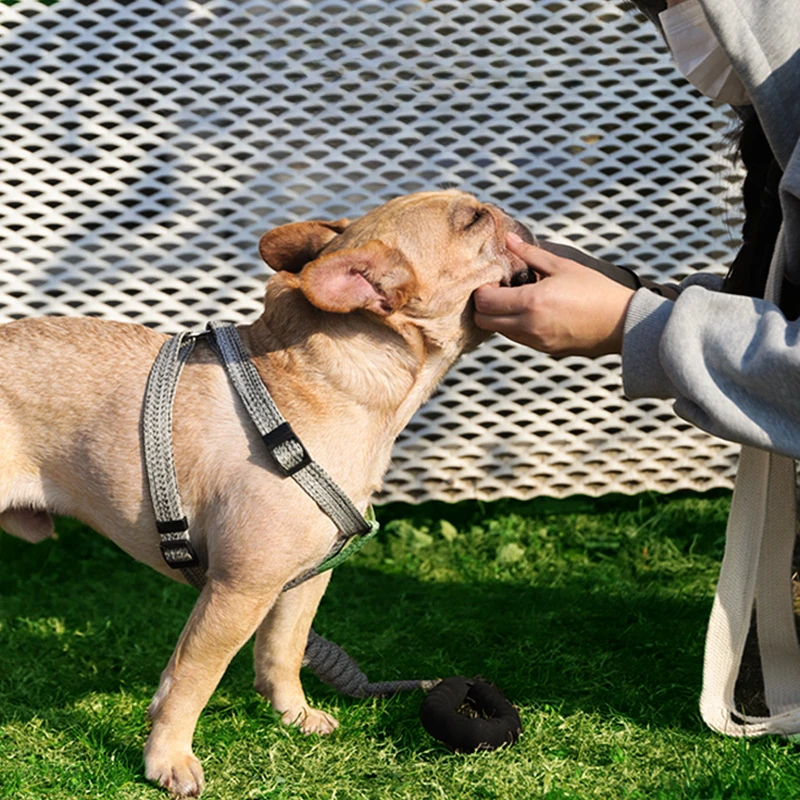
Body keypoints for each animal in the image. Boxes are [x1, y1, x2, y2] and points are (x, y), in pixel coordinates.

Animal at [4, 191, 532, 796]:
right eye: (472, 221)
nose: (513, 213)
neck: (322, 380)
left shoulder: (303, 580)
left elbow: (284, 650)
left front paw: (293, 714)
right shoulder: (239, 590)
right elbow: (192, 678)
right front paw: (168, 758)